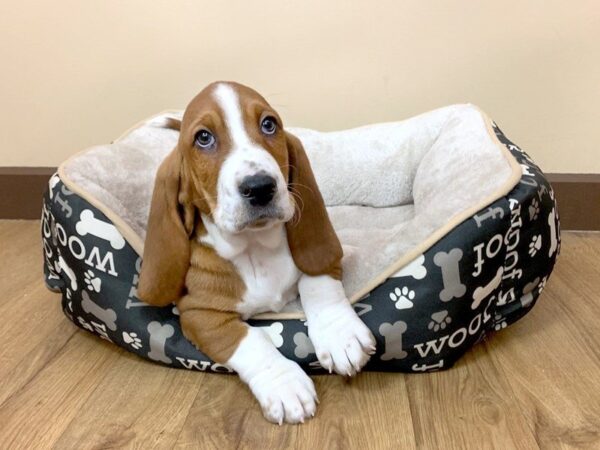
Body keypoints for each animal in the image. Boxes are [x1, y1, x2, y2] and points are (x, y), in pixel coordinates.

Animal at [139, 81, 378, 426]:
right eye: (203, 138)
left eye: (269, 125)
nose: (260, 186)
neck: (254, 245)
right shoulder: (200, 314)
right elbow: (251, 341)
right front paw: (285, 384)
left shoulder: (321, 257)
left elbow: (317, 283)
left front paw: (340, 334)